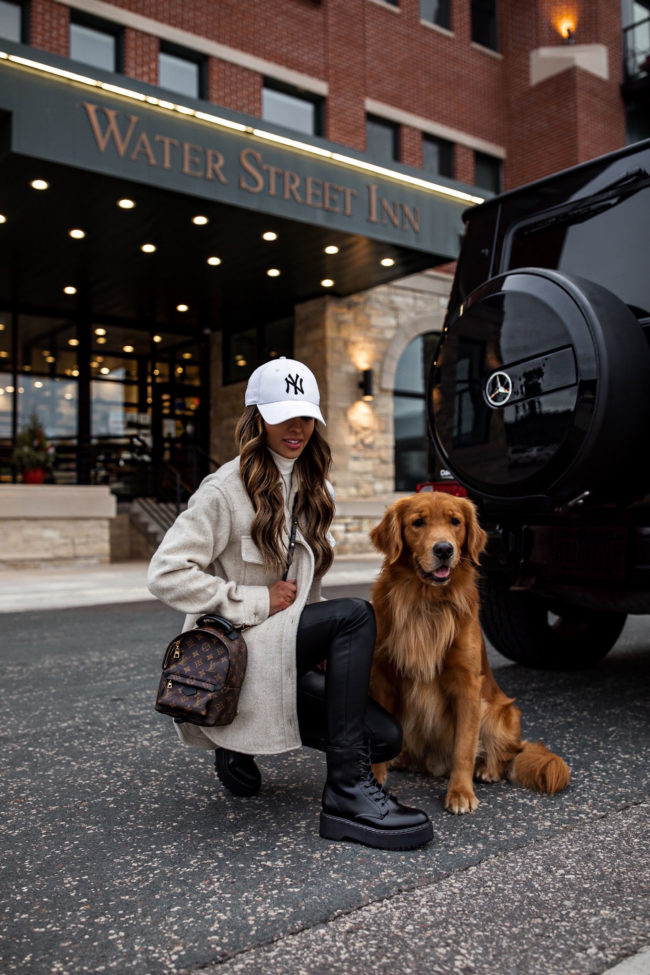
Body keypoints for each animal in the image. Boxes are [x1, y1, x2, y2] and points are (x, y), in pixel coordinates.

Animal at [370, 492, 568, 812]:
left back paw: (487, 769)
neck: (426, 602)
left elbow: (463, 748)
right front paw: (375, 779)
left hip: (499, 711)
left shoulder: (468, 686)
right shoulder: (383, 678)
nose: (443, 549)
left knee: (505, 753)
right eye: (418, 522)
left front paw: (461, 793)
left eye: (455, 521)